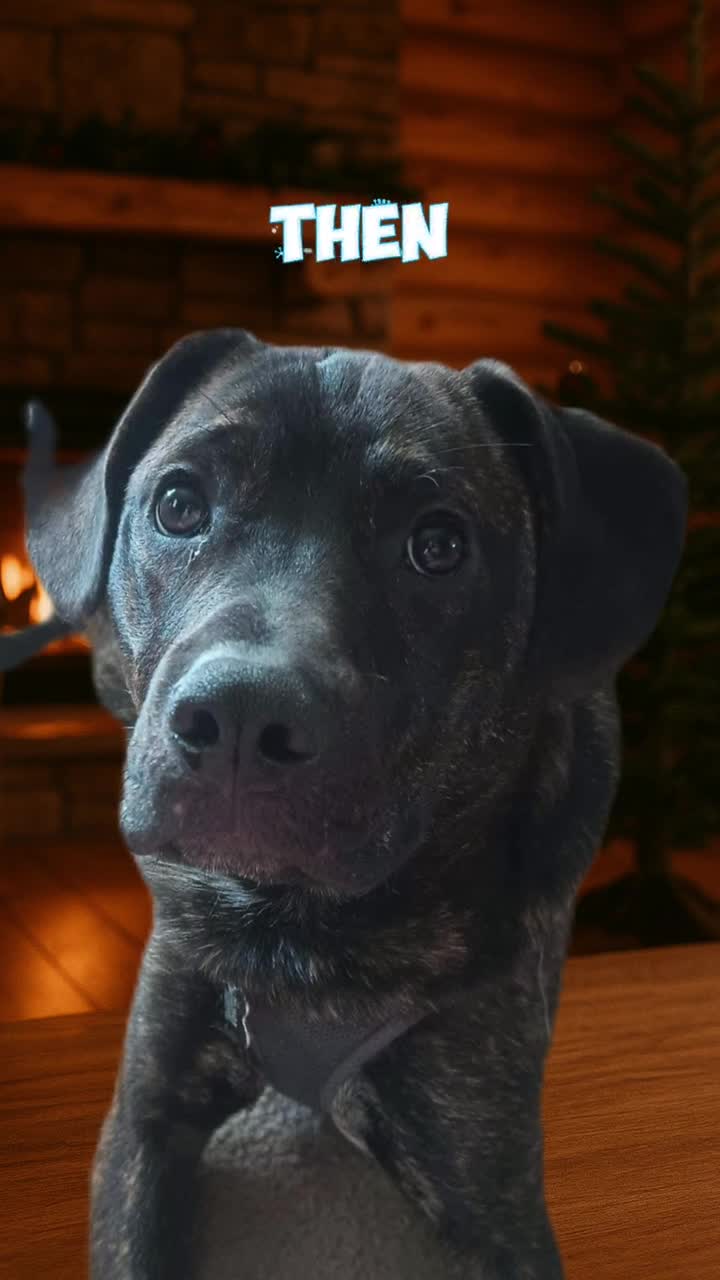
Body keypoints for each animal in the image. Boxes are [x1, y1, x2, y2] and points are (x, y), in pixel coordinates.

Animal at [8, 330, 687, 1278]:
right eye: (178, 505)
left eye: (437, 545)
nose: (242, 716)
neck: (296, 927)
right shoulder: (144, 1118)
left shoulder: (491, 1190)